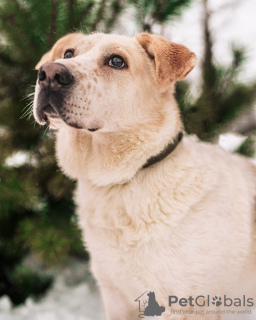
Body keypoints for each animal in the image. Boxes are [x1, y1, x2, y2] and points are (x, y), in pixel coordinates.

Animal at [33, 31, 256, 318]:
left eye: (117, 61)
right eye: (68, 53)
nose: (49, 73)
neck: (121, 181)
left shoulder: (189, 305)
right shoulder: (115, 295)